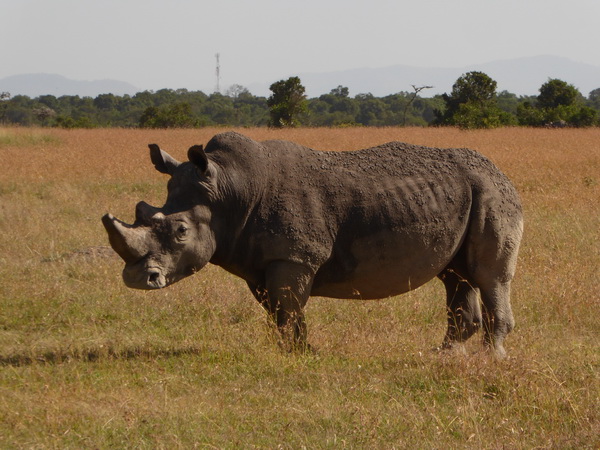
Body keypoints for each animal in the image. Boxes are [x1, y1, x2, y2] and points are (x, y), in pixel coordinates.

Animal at [101, 132, 524, 356]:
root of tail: (501, 172)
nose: (138, 279)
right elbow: (277, 310)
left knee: (489, 277)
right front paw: (288, 351)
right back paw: (444, 355)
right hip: (468, 195)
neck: (229, 191)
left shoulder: (295, 256)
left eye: (180, 232)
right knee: (455, 276)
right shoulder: (261, 260)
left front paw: (302, 355)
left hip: (492, 194)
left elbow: (289, 308)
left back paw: (490, 359)